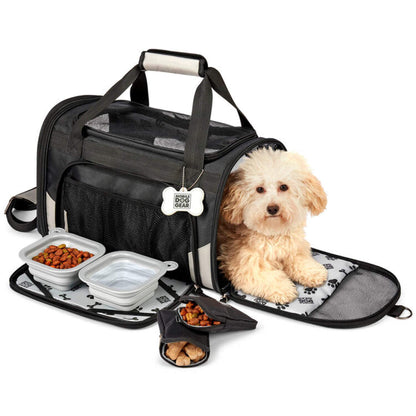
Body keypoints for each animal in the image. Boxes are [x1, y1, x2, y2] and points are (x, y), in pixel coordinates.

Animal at [218, 148, 328, 304]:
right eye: (259, 189)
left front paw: (312, 271)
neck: (272, 233)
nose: (272, 208)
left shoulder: (292, 248)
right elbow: (266, 277)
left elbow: (299, 259)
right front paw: (283, 289)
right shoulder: (246, 263)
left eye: (283, 187)